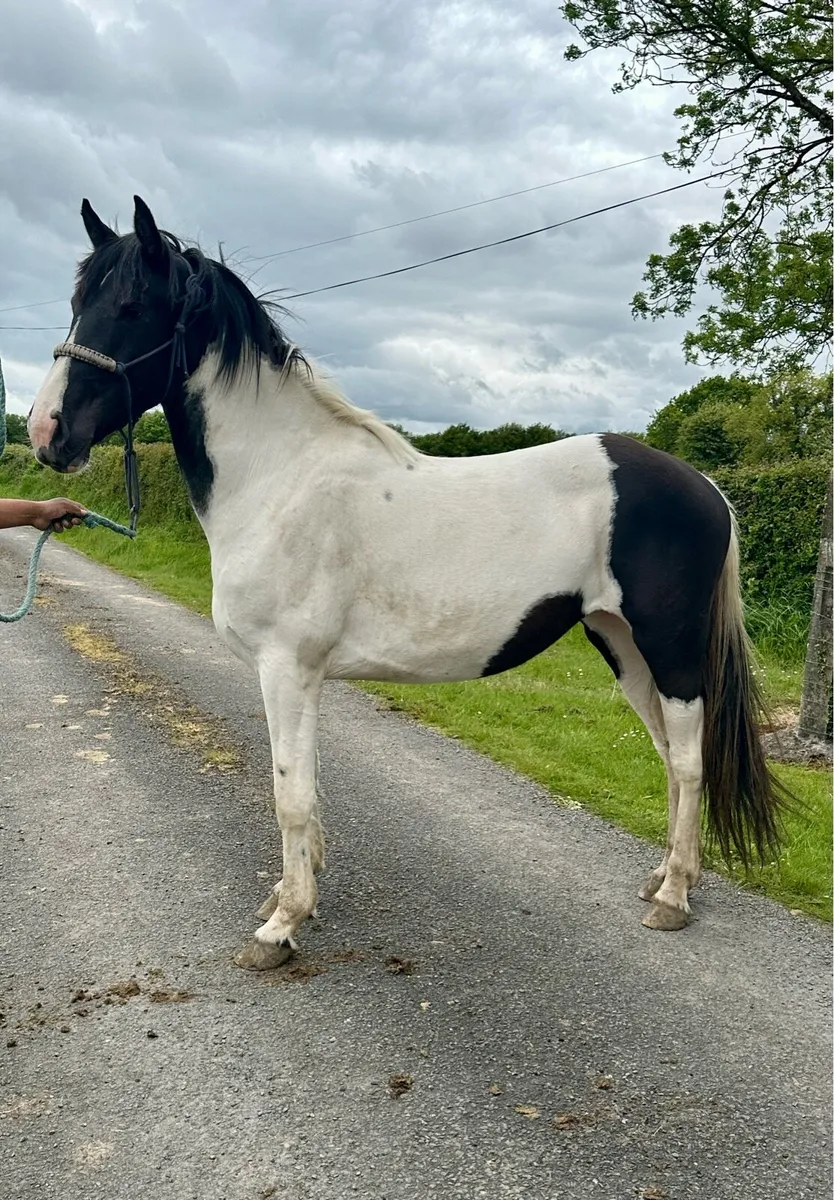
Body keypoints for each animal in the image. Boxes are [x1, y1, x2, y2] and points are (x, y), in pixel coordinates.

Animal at [28, 196, 786, 968]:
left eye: (130, 306)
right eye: (78, 303)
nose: (46, 432)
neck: (281, 478)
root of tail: (705, 487)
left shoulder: (286, 668)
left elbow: (290, 795)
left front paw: (281, 926)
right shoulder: (297, 675)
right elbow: (305, 786)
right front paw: (289, 895)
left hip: (670, 647)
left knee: (688, 759)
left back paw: (674, 898)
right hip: (621, 644)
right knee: (667, 752)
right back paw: (664, 875)